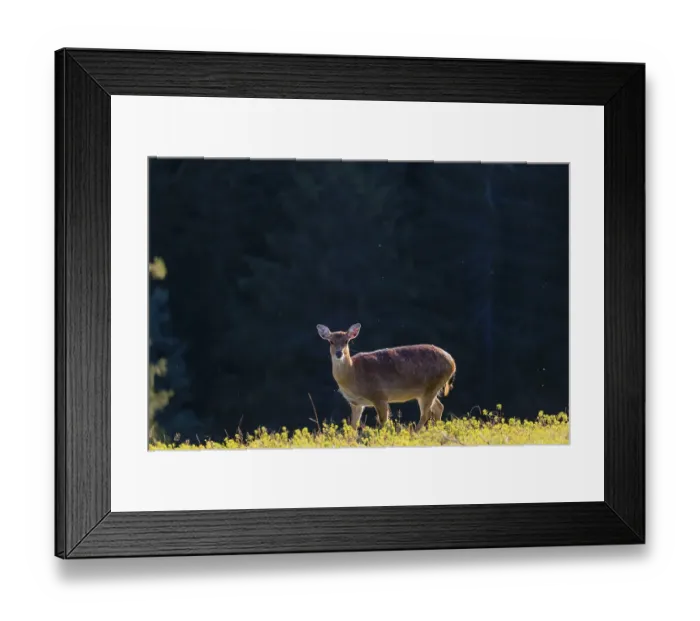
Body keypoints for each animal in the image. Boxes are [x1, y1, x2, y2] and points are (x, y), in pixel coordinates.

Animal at [316, 323, 456, 431]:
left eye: (346, 341)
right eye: (331, 341)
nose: (339, 353)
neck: (353, 374)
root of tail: (452, 362)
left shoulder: (379, 395)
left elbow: (384, 422)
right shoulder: (356, 403)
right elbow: (353, 426)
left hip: (431, 386)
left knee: (425, 414)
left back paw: (415, 434)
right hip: (426, 391)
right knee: (439, 407)